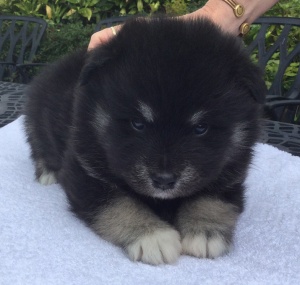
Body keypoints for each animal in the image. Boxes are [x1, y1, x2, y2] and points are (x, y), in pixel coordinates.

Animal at [24, 16, 266, 262]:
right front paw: (152, 236)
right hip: (37, 117)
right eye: (138, 123)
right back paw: (47, 173)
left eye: (201, 127)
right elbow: (118, 203)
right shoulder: (84, 170)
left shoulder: (230, 175)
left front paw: (205, 232)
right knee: (38, 143)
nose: (164, 180)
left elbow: (212, 199)